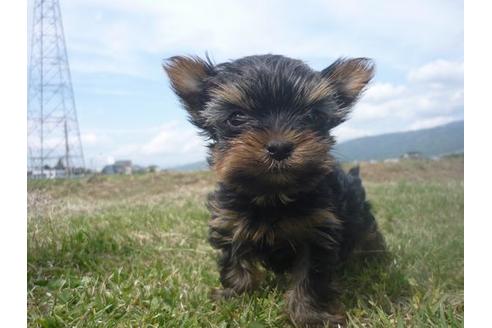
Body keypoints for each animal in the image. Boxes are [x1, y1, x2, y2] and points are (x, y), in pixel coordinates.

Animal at [164, 55, 384, 326]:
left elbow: (309, 278)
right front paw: (234, 296)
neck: (273, 195)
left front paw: (309, 315)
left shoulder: (318, 231)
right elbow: (234, 263)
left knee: (368, 234)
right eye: (236, 117)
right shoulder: (229, 222)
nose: (279, 147)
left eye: (311, 116)